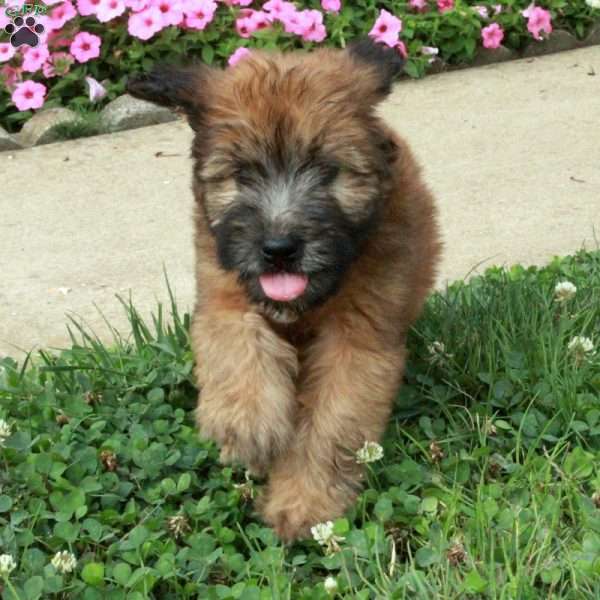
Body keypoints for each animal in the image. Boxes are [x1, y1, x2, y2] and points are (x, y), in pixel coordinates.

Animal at [129, 38, 440, 544]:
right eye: (241, 173)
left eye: (328, 170)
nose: (279, 249)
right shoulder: (223, 291)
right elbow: (237, 343)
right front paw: (246, 424)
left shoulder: (358, 338)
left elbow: (331, 425)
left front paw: (304, 502)